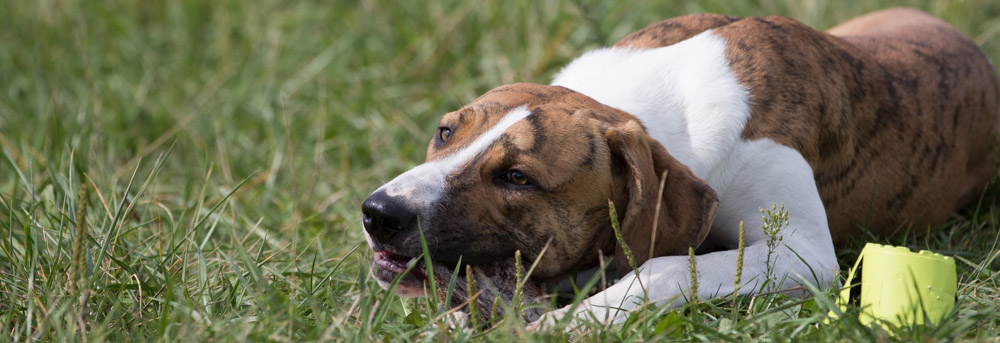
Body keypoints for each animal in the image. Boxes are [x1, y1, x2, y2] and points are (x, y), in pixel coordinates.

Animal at [360, 8, 1000, 330]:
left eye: (517, 177)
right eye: (446, 133)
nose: (378, 213)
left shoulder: (800, 252)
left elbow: (661, 267)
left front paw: (570, 322)